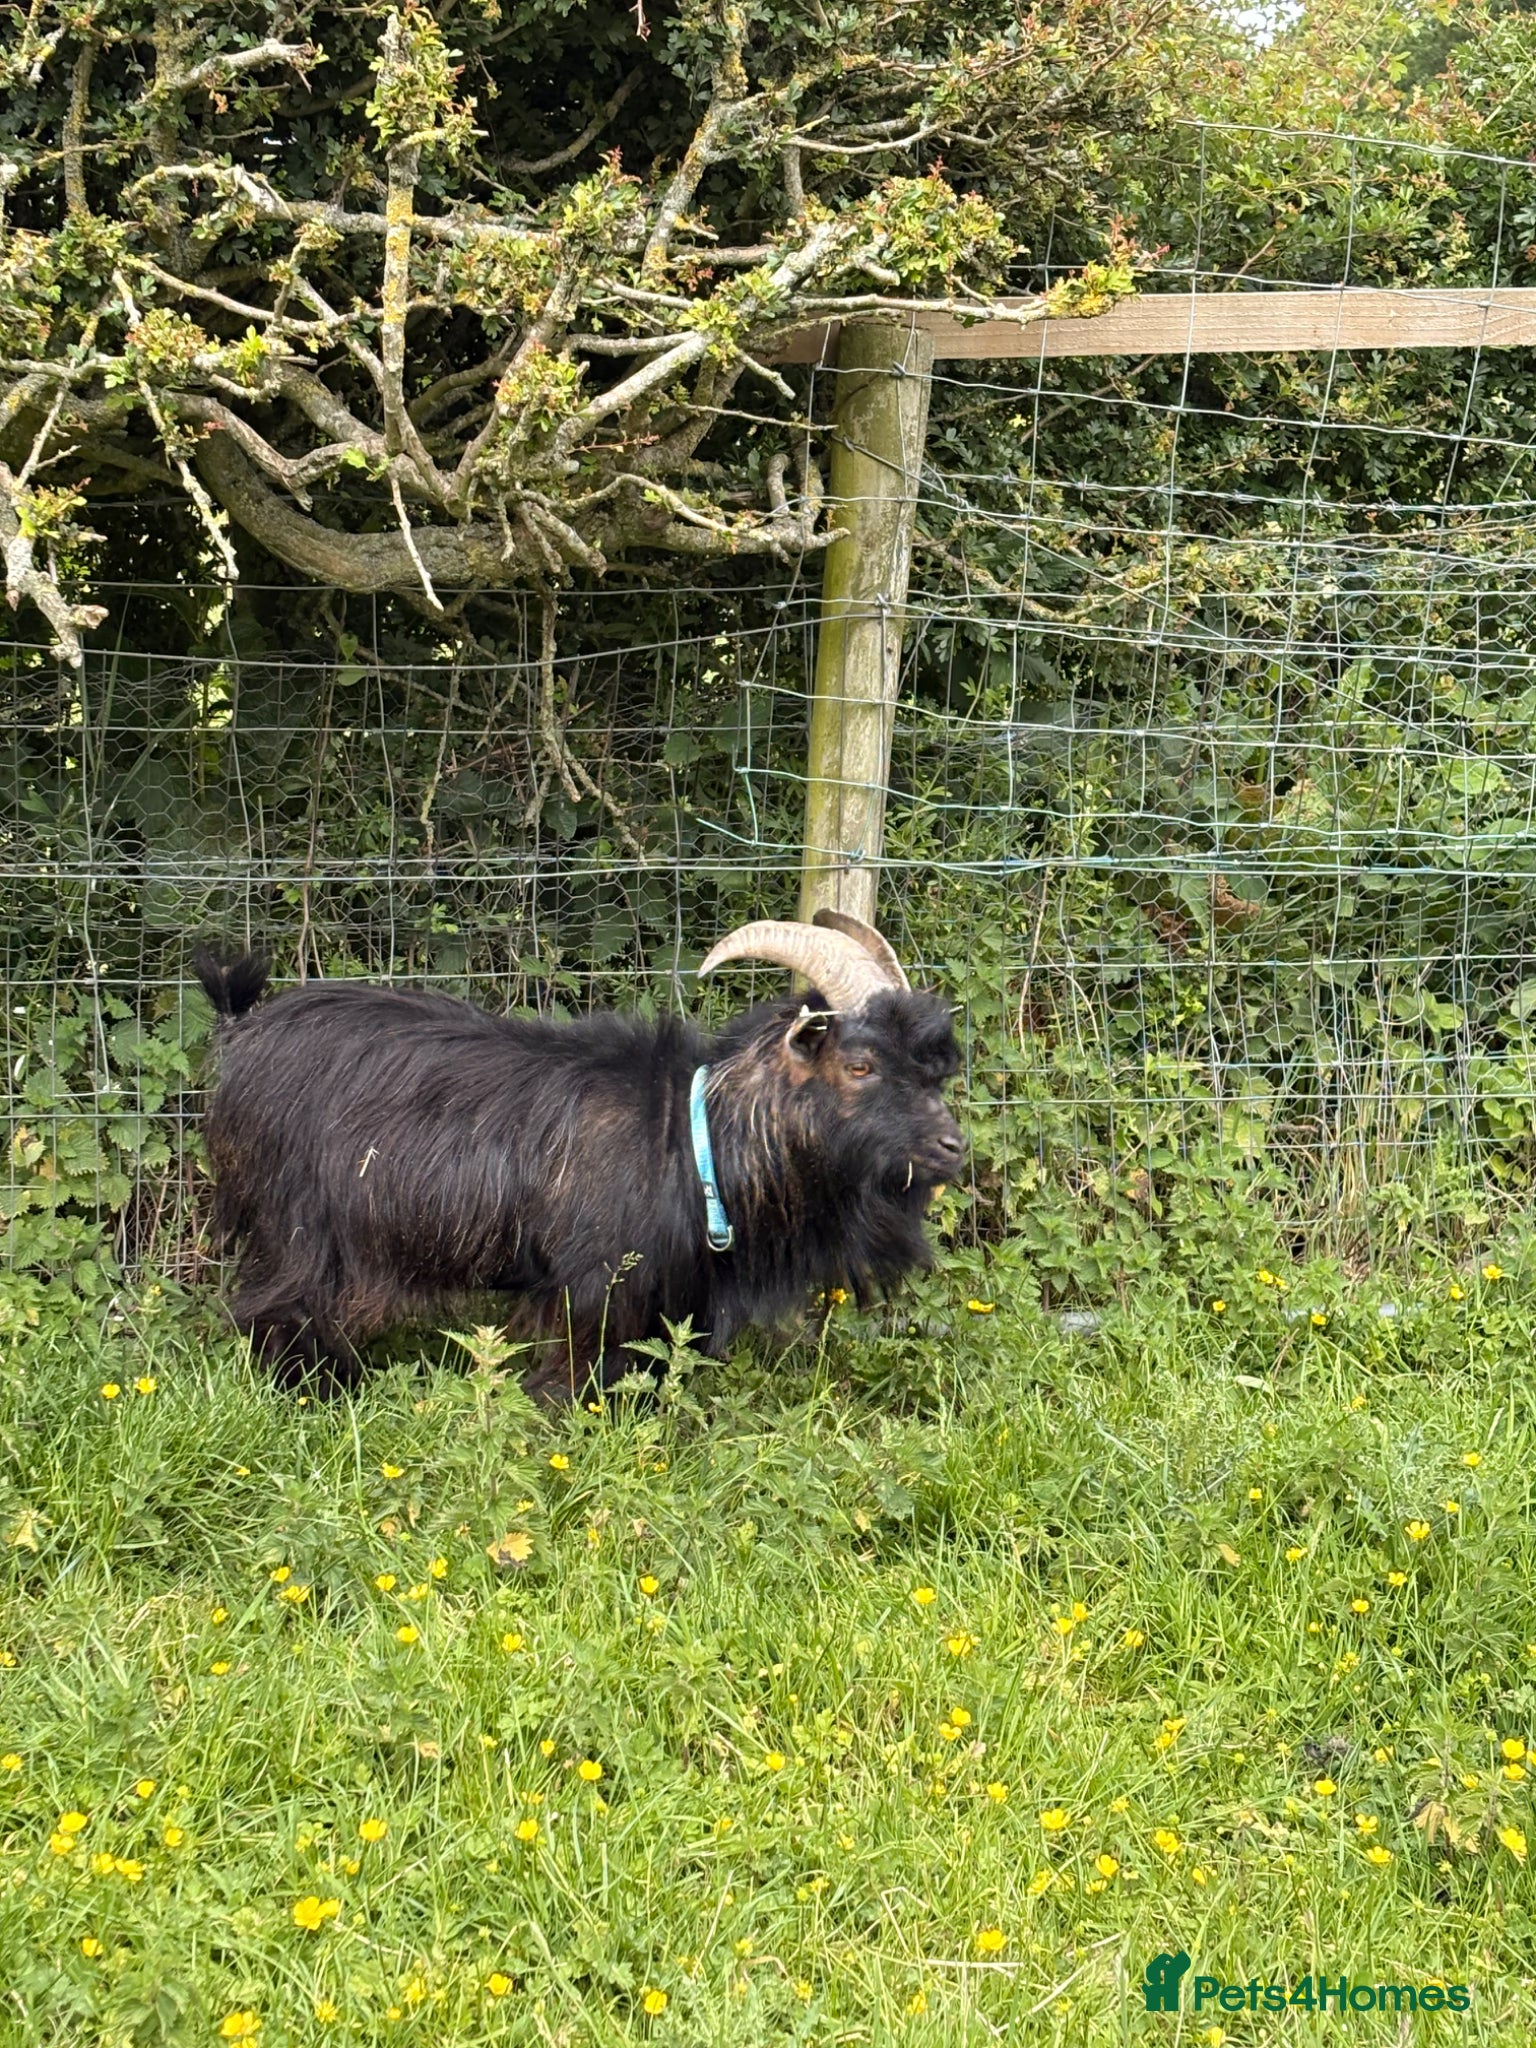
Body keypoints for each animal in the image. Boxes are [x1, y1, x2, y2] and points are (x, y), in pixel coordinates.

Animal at [193, 912, 963, 1395]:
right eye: (859, 1065)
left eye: (933, 1070)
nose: (953, 1146)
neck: (690, 1138)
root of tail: (241, 1030)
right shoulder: (592, 1288)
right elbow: (575, 1377)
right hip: (297, 1226)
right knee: (272, 1313)